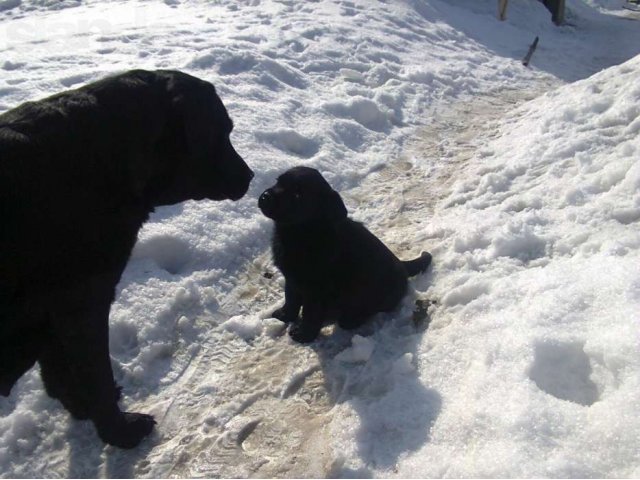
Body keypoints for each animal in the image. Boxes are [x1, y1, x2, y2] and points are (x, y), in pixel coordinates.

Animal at [0, 69, 255, 448]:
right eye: (221, 132)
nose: (251, 176)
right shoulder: (82, 301)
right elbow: (95, 376)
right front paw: (119, 430)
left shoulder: (55, 310)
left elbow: (61, 372)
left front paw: (85, 410)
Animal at [258, 167, 432, 344]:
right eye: (278, 181)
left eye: (298, 194)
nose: (265, 196)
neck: (302, 234)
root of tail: (401, 264)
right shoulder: (291, 278)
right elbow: (291, 299)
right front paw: (284, 315)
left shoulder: (316, 290)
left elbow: (310, 313)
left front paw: (303, 334)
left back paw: (352, 318)